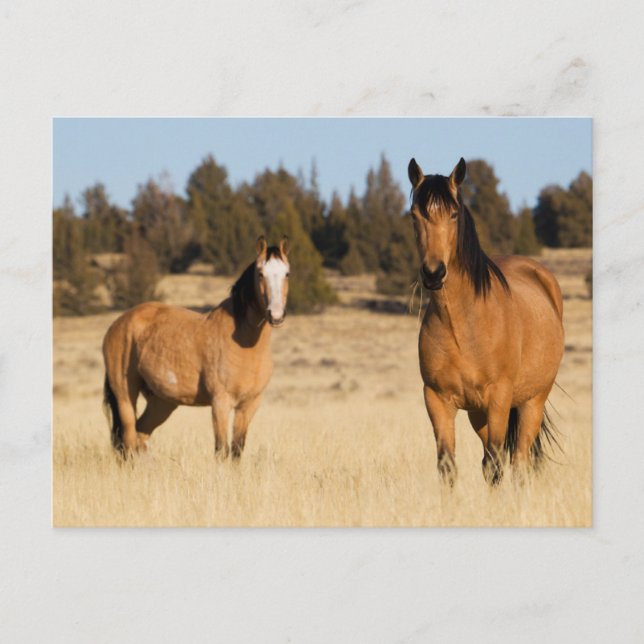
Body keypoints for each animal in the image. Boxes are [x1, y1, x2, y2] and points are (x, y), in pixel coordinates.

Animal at [102, 235, 290, 460]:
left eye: (287, 273)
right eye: (260, 274)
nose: (276, 315)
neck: (244, 343)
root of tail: (118, 323)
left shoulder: (249, 405)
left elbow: (236, 450)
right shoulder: (220, 403)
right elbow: (221, 450)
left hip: (162, 402)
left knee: (140, 435)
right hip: (125, 395)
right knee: (128, 441)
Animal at [407, 157, 564, 486]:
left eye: (454, 214)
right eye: (415, 216)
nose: (433, 273)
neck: (462, 325)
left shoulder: (499, 398)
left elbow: (495, 464)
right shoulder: (437, 400)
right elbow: (448, 465)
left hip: (532, 402)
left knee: (518, 461)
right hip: (477, 413)